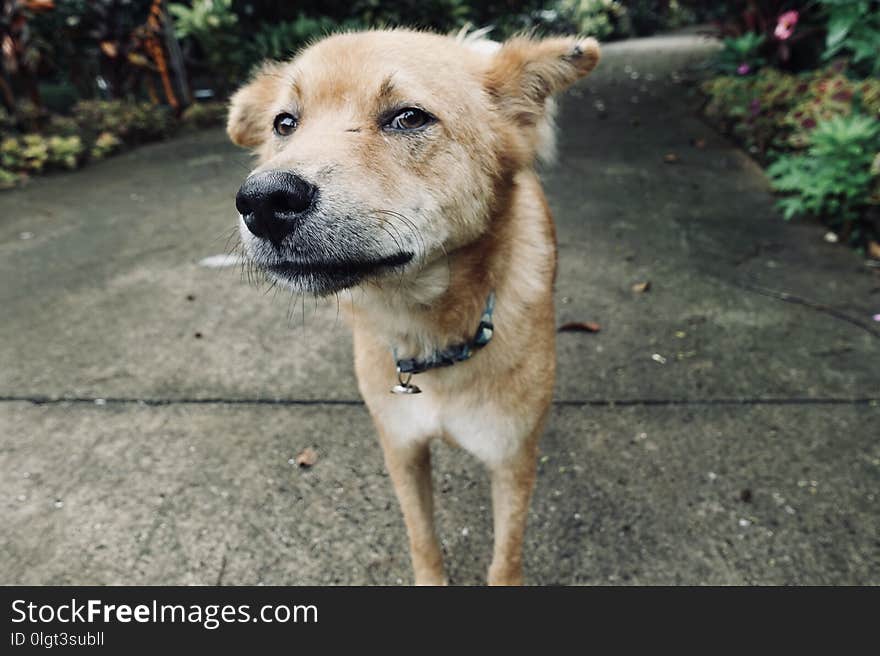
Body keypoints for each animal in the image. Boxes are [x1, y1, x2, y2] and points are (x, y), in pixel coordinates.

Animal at [227, 29, 600, 584]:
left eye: (408, 117)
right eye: (284, 123)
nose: (263, 202)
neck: (433, 334)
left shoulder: (511, 461)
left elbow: (505, 559)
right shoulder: (401, 448)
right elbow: (422, 539)